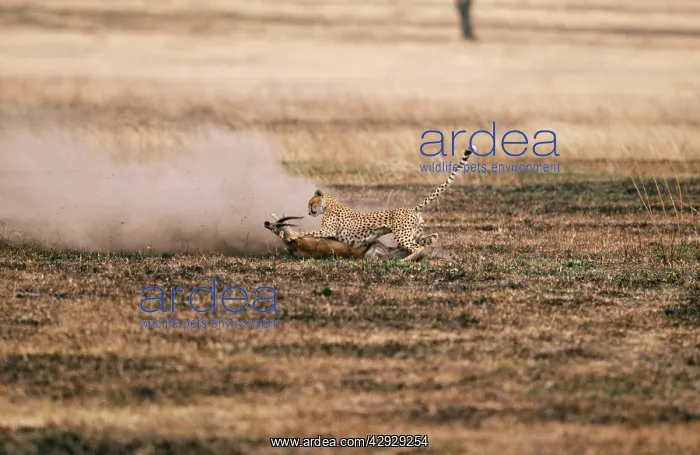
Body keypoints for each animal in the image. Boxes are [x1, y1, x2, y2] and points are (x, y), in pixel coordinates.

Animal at [292, 146, 475, 262]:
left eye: (312, 203)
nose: (309, 212)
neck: (329, 204)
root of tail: (411, 209)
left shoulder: (328, 230)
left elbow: (308, 232)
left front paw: (293, 235)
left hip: (402, 236)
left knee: (417, 247)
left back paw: (405, 260)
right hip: (414, 233)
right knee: (431, 237)